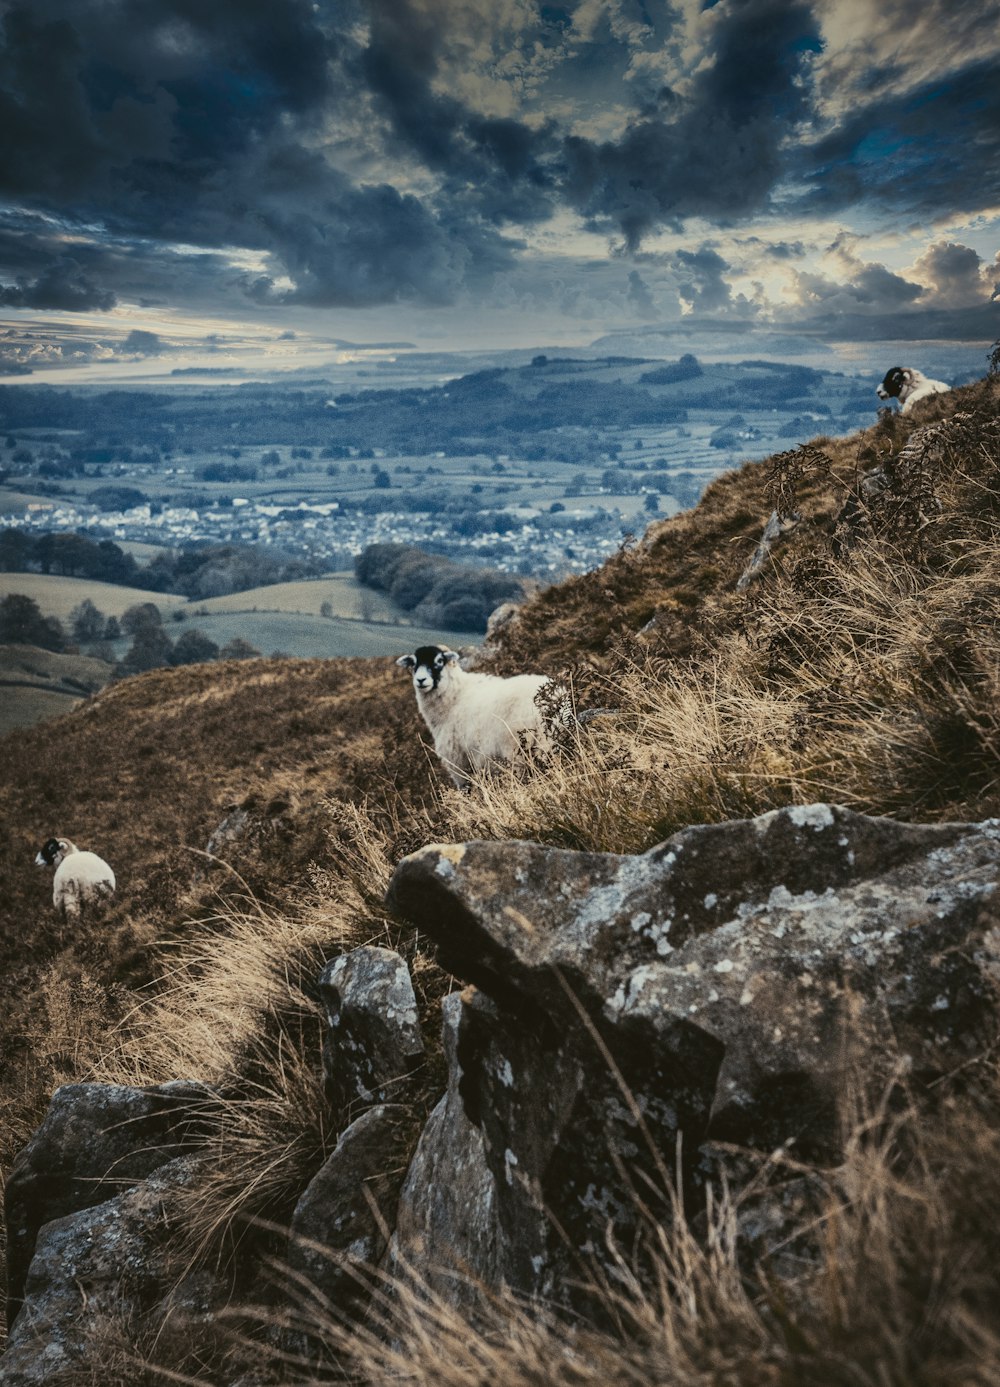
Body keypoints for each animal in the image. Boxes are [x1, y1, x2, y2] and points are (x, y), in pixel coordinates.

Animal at [396, 640, 568, 787]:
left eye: (439, 661)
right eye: (414, 663)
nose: (421, 680)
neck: (454, 696)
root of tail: (554, 700)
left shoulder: (458, 762)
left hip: (519, 750)